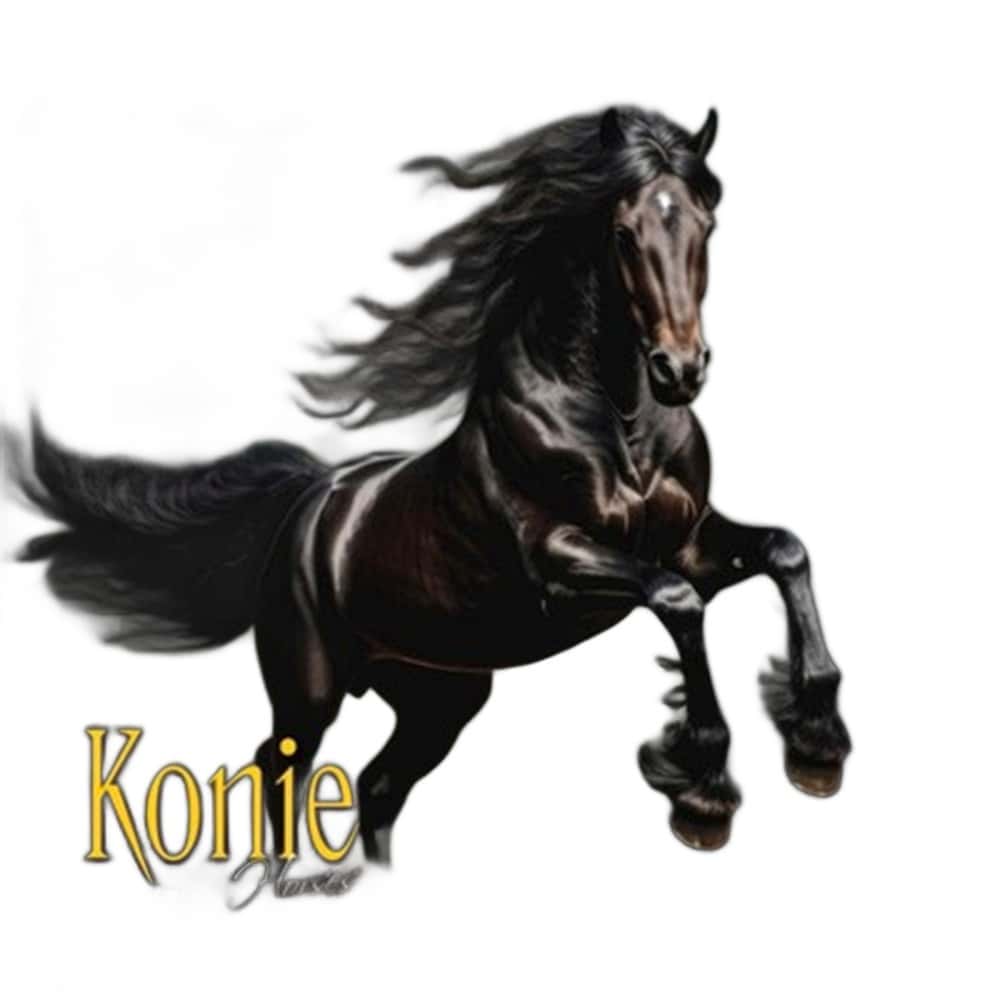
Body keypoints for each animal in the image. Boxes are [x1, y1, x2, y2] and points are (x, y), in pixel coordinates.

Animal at [5, 105, 851, 862]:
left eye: (706, 224)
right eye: (622, 232)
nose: (681, 371)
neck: (619, 429)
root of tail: (312, 504)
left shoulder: (691, 543)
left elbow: (785, 551)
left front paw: (816, 745)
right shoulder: (563, 565)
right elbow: (678, 605)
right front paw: (703, 790)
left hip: (438, 696)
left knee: (379, 785)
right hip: (309, 690)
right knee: (281, 769)